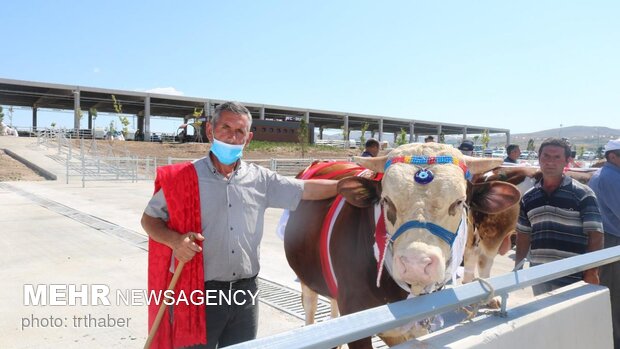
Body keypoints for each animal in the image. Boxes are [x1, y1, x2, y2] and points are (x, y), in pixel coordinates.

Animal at [284, 143, 520, 346]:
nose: (416, 264)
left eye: (459, 202)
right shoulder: (356, 313)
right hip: (306, 278)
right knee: (310, 307)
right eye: (386, 201)